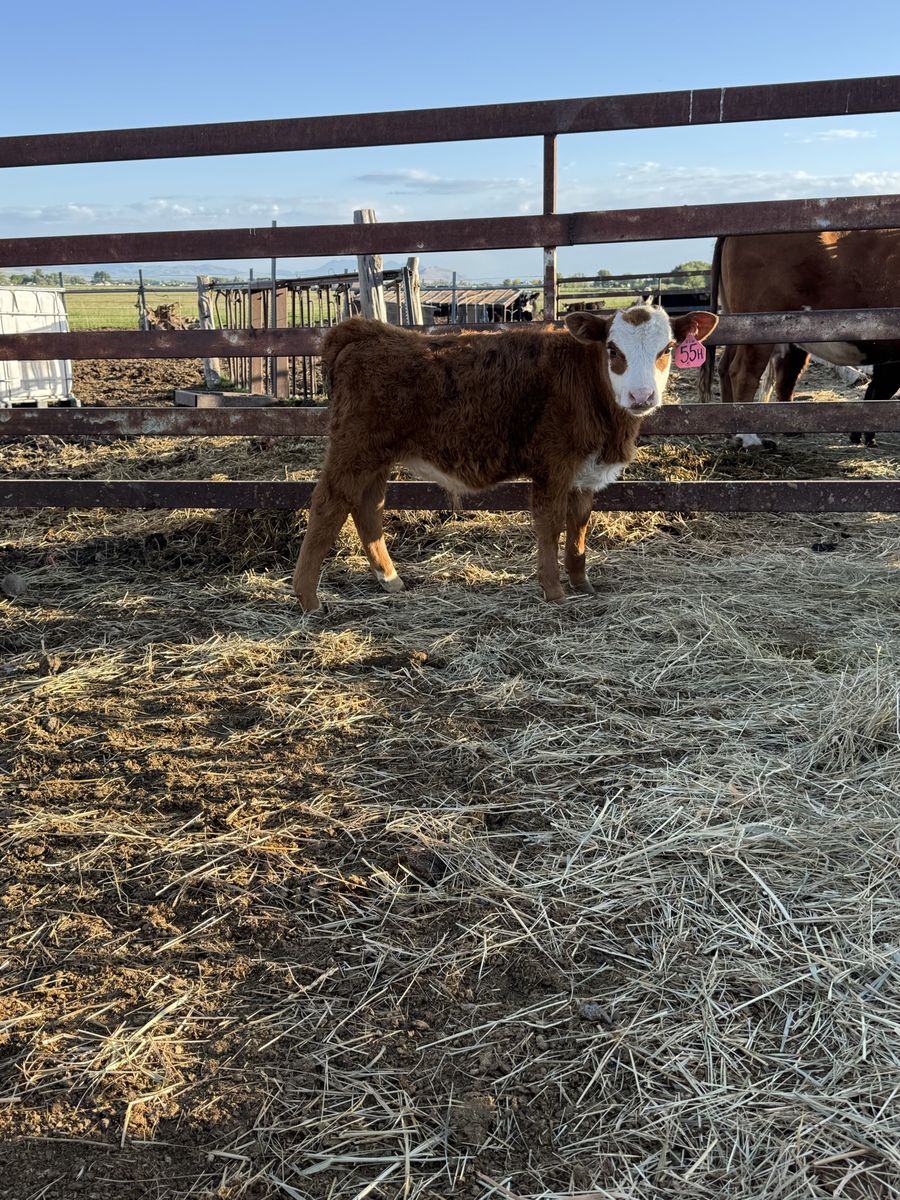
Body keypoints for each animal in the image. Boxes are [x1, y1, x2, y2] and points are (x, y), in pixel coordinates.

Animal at [292, 304, 718, 611]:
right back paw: (308, 600)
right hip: (354, 447)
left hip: (377, 455)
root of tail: (368, 332)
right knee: (328, 504)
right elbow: (550, 525)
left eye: (667, 350)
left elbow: (579, 527)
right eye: (613, 349)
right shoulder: (553, 465)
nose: (641, 397)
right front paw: (554, 592)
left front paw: (582, 584)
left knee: (368, 508)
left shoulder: (585, 473)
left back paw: (390, 579)